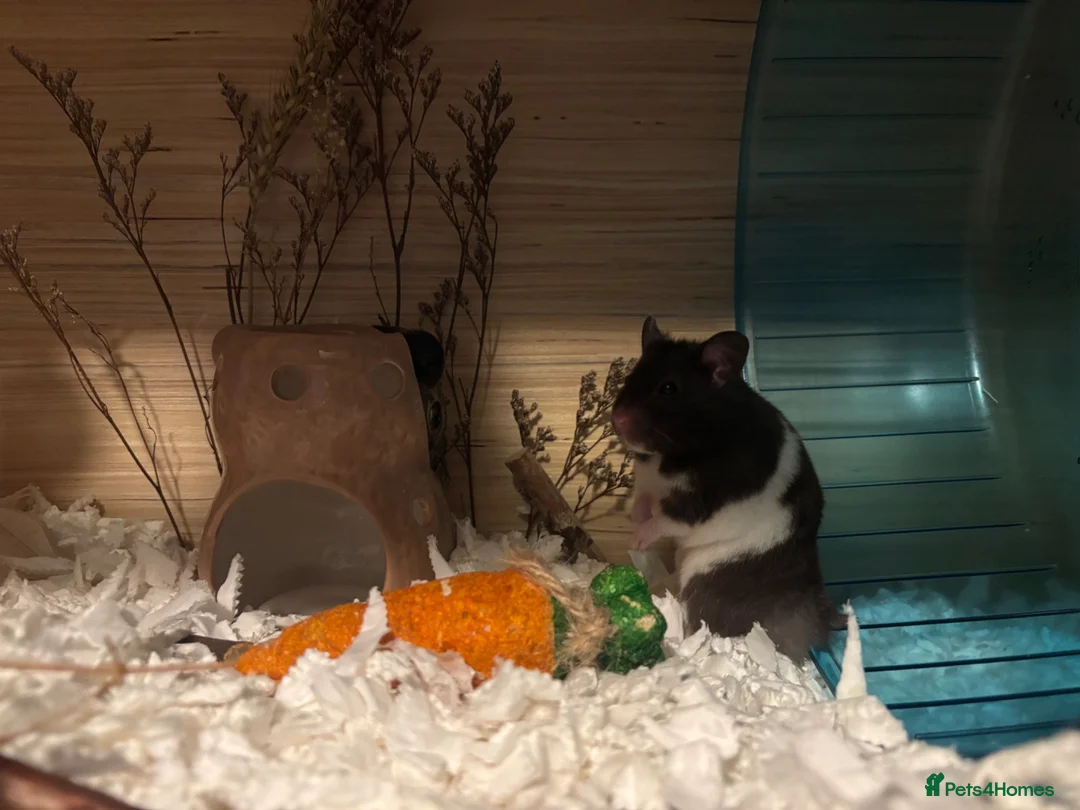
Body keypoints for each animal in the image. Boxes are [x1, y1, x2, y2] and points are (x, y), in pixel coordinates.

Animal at [611, 315, 842, 663]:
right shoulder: (648, 480)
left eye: (668, 388)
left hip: (705, 577)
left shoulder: (698, 505)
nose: (617, 419)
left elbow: (664, 520)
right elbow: (643, 497)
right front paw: (634, 518)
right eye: (630, 376)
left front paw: (636, 539)